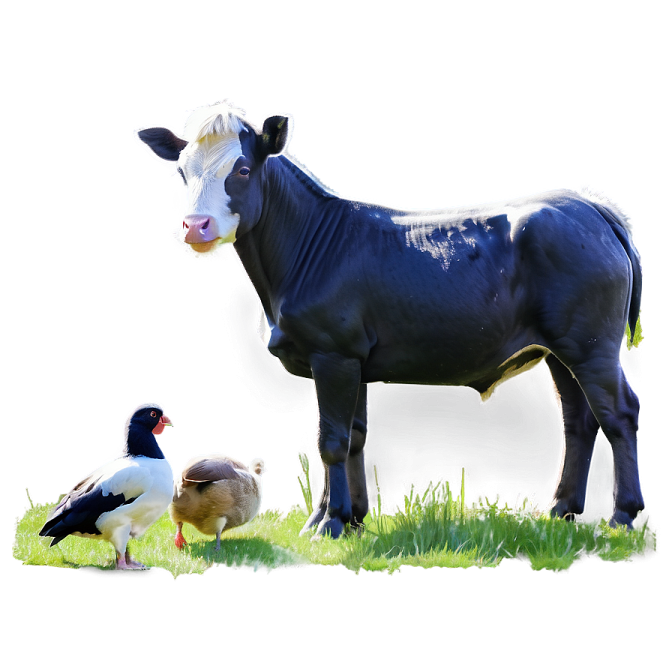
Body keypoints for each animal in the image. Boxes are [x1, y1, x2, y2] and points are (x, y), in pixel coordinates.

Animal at [133, 101, 645, 538]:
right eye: (182, 172)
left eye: (241, 169)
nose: (196, 226)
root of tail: (586, 203)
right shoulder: (352, 359)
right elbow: (355, 438)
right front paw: (349, 516)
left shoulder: (332, 351)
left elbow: (330, 439)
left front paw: (328, 524)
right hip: (562, 348)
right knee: (578, 421)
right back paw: (561, 510)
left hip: (591, 344)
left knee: (619, 414)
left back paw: (622, 515)